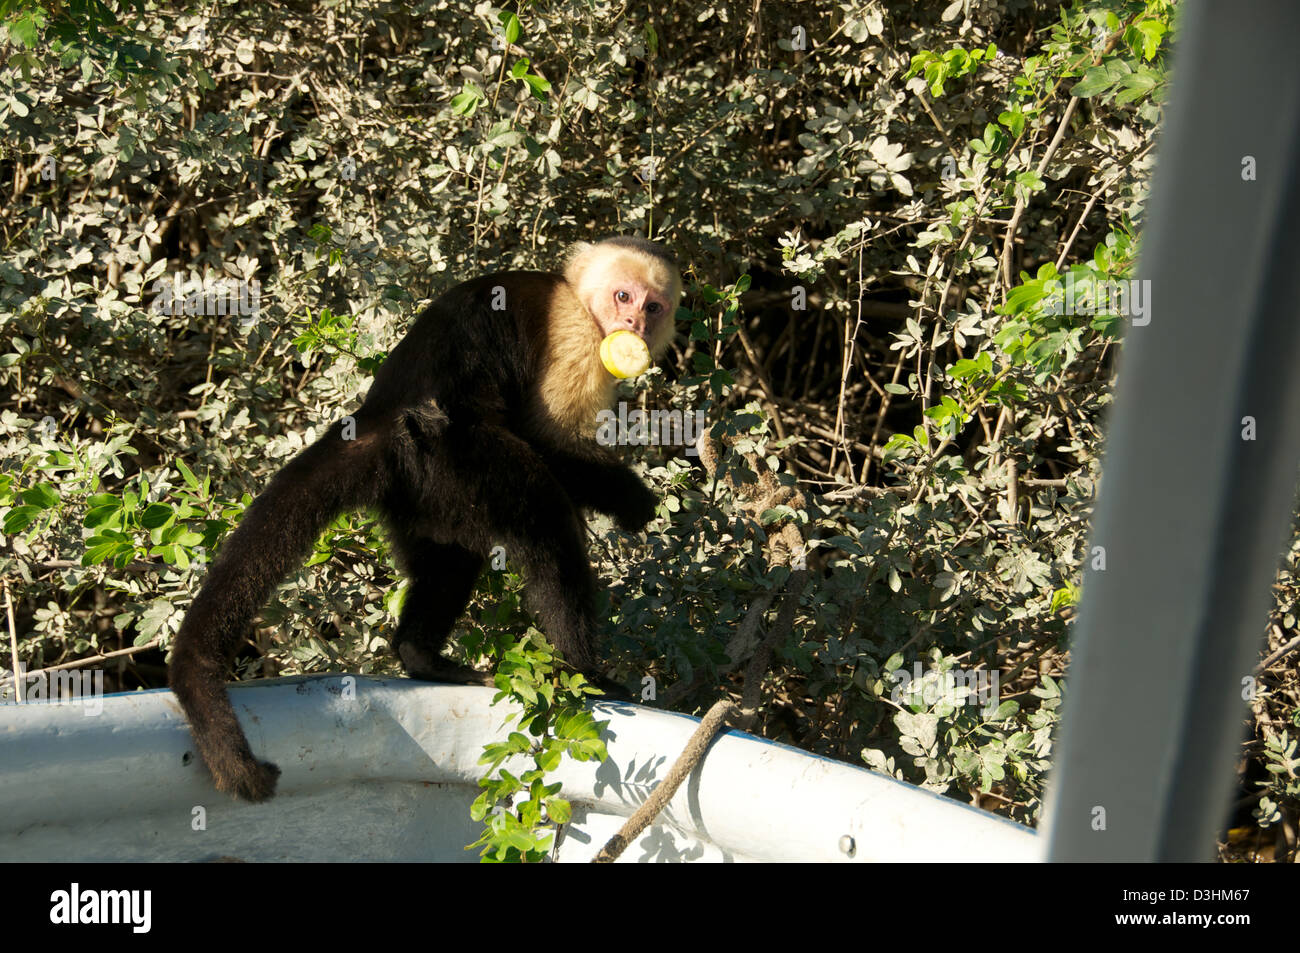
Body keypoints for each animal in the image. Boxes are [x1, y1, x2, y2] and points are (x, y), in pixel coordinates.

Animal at [168, 236, 681, 802]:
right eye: (623, 296)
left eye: (654, 306)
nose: (634, 323)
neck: (579, 299)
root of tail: (375, 421)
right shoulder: (575, 337)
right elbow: (543, 435)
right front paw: (630, 498)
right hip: (454, 453)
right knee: (544, 517)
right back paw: (584, 670)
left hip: (428, 490)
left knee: (452, 560)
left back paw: (420, 655)